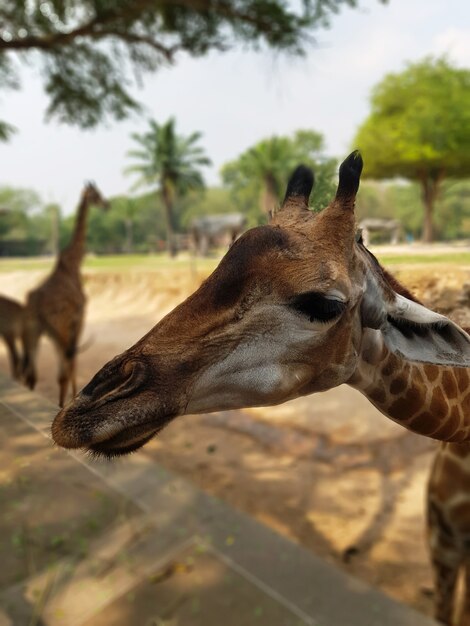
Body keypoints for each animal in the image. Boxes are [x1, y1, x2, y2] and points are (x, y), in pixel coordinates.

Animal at [23, 180, 109, 404]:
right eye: (96, 194)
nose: (107, 204)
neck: (74, 263)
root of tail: (34, 304)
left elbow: (66, 365)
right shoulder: (78, 317)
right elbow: (72, 363)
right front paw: (74, 399)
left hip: (36, 331)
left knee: (32, 373)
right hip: (57, 326)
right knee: (58, 367)